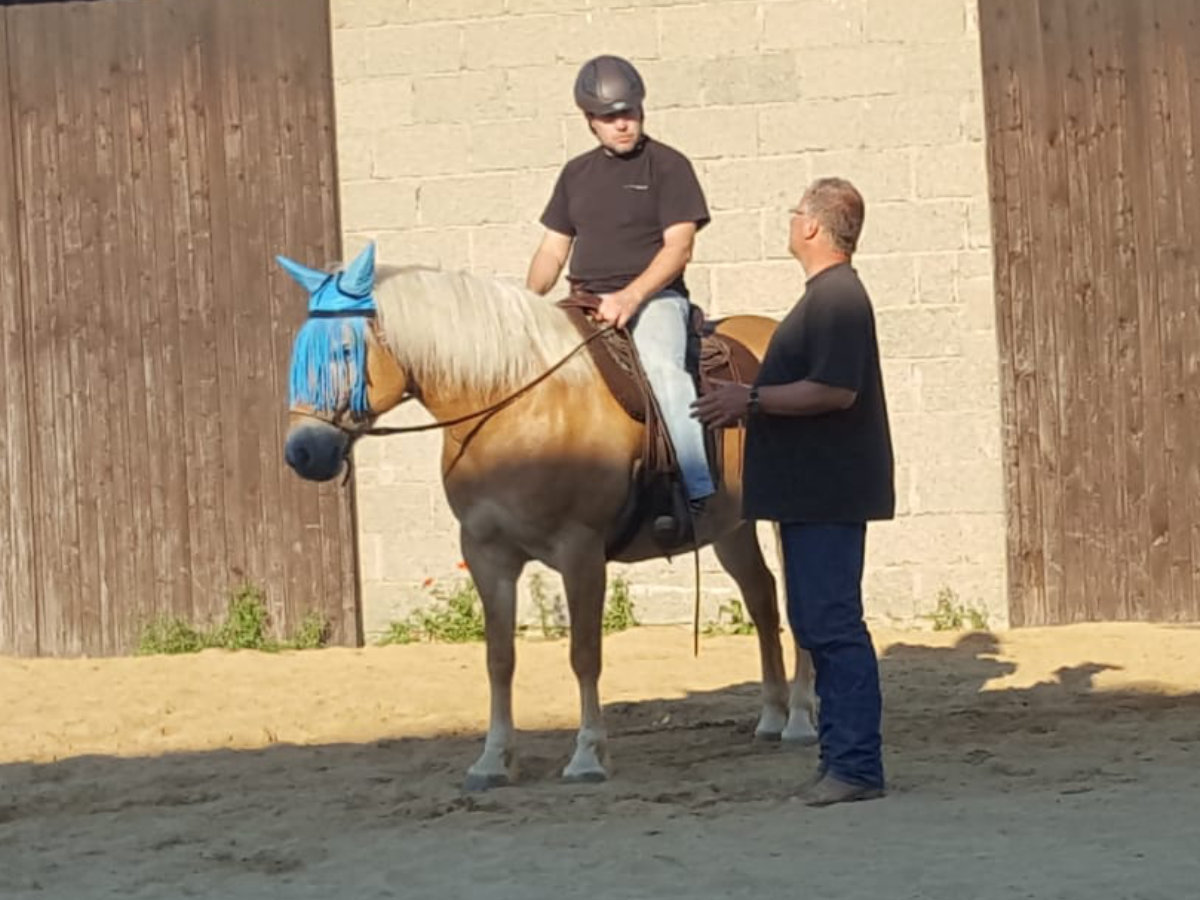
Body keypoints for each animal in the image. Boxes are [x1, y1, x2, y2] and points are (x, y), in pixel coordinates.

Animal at [278, 242, 816, 789]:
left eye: (345, 351)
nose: (303, 452)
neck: (513, 404)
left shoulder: (581, 551)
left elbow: (584, 655)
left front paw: (587, 755)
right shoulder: (486, 553)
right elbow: (499, 659)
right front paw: (494, 759)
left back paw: (799, 718)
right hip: (731, 527)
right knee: (763, 600)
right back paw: (772, 716)